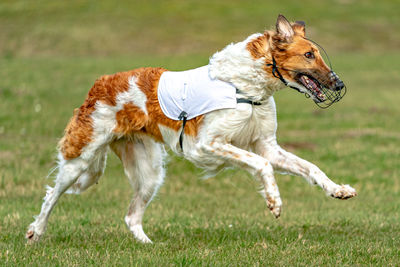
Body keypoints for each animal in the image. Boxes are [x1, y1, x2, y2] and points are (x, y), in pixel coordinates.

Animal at [25, 14, 356, 245]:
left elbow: (310, 167)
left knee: (131, 216)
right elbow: (262, 166)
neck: (247, 85)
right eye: (309, 55)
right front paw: (274, 202)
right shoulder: (207, 144)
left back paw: (149, 245)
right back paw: (35, 232)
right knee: (52, 194)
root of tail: (100, 84)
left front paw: (337, 189)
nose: (339, 84)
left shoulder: (265, 144)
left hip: (150, 171)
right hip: (81, 157)